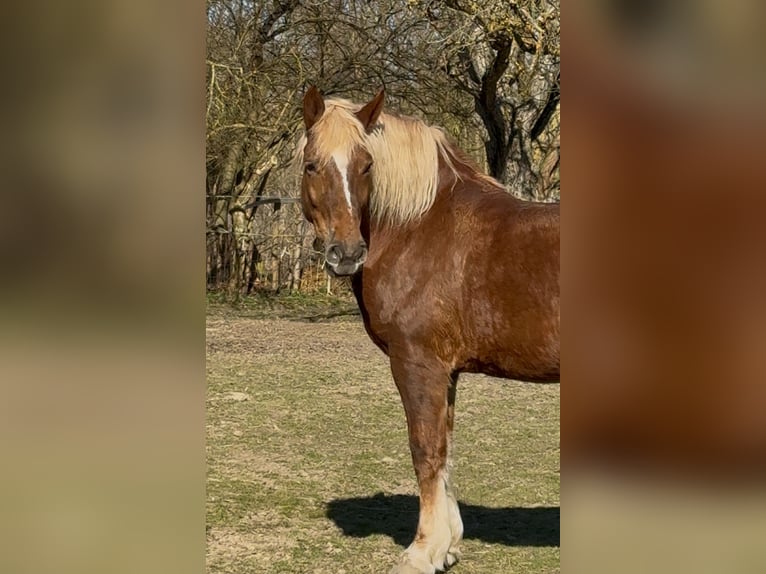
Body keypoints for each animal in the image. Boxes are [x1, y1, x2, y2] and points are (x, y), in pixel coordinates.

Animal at [297, 86, 560, 574]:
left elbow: (425, 449)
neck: (420, 227)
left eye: (367, 165)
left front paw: (421, 552)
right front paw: (447, 545)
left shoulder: (418, 364)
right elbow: (446, 448)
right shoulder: (446, 372)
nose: (347, 253)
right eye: (311, 165)